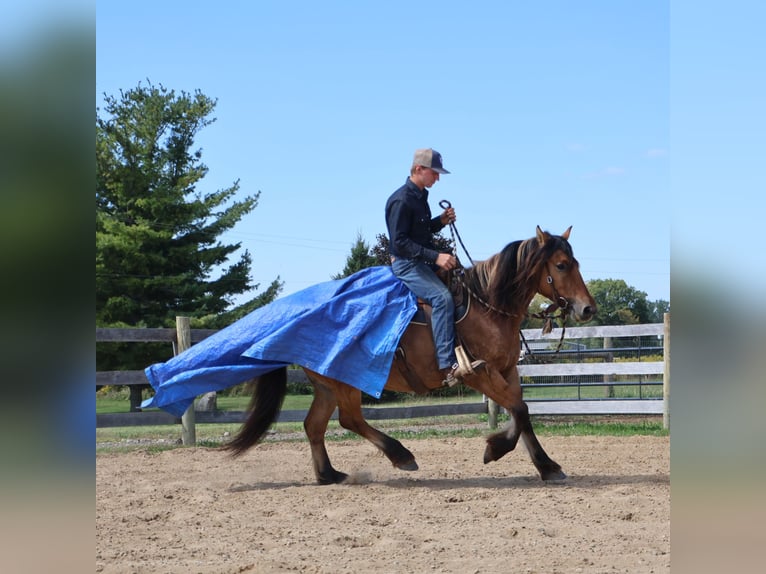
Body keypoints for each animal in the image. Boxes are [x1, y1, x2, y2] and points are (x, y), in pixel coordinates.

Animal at [224, 226, 597, 484]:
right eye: (561, 265)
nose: (587, 308)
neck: (488, 307)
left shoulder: (508, 372)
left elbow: (521, 415)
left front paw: (546, 466)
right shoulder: (480, 373)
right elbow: (520, 410)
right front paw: (495, 449)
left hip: (328, 385)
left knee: (314, 426)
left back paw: (330, 474)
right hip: (346, 383)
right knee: (350, 420)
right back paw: (400, 454)